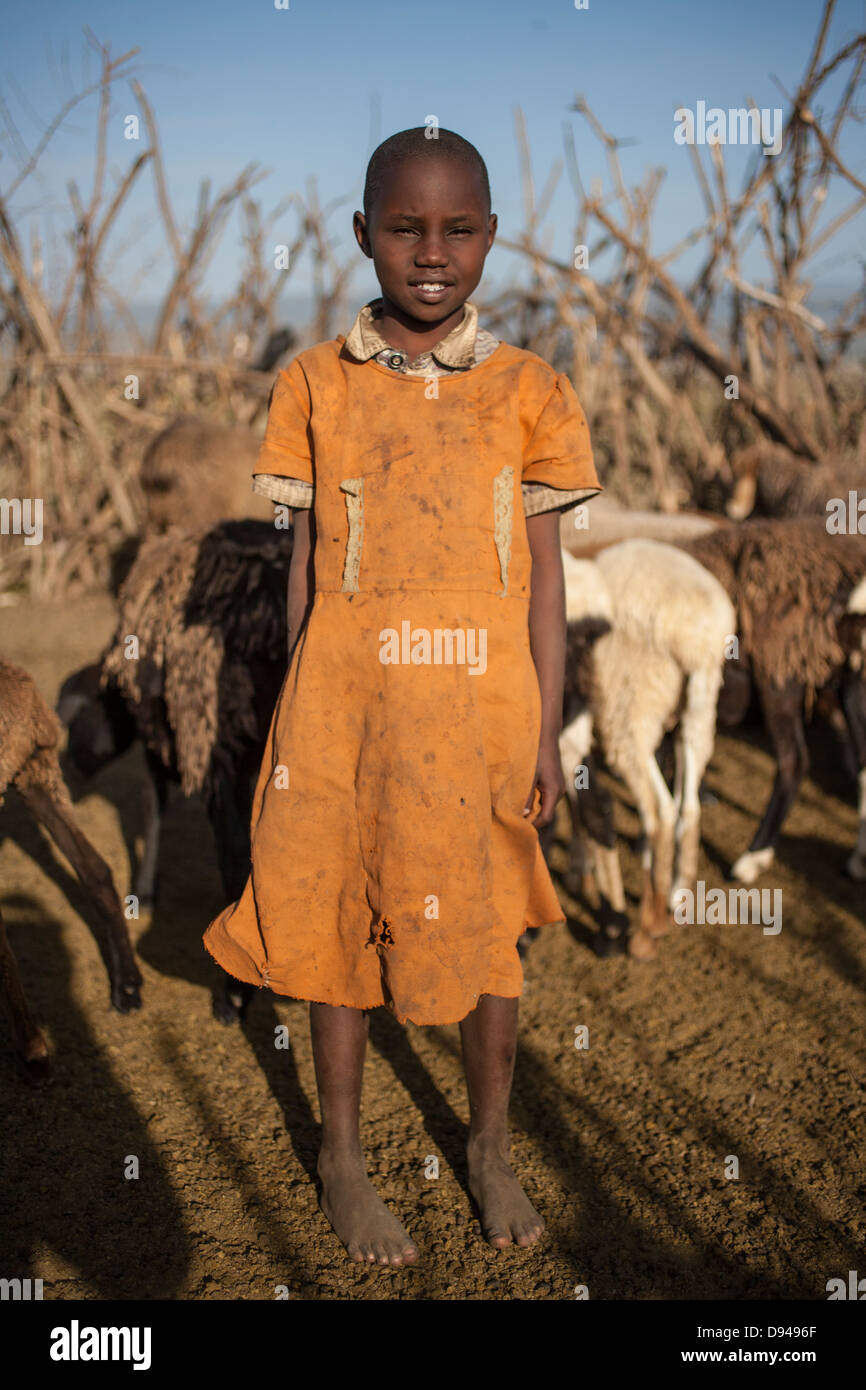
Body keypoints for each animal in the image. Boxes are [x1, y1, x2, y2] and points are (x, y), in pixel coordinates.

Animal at [558, 536, 733, 961]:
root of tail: (697, 636)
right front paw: (580, 871)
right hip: (696, 710)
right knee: (689, 807)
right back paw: (677, 895)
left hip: (629, 710)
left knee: (660, 811)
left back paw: (646, 931)